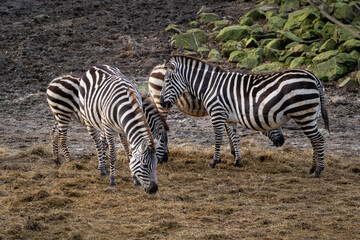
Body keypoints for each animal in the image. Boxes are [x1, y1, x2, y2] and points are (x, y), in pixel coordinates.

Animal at [79, 64, 160, 193]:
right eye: (145, 165)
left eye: (156, 165)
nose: (154, 190)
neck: (126, 106)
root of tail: (96, 66)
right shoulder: (109, 128)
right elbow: (112, 155)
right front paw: (112, 181)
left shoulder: (125, 129)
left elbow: (130, 154)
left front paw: (135, 180)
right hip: (89, 120)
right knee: (97, 143)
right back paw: (102, 170)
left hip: (103, 124)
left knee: (102, 141)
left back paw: (105, 168)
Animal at [148, 63, 286, 156]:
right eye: (272, 123)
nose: (282, 142)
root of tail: (154, 69)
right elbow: (229, 131)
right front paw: (234, 153)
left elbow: (228, 130)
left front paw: (233, 151)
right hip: (161, 102)